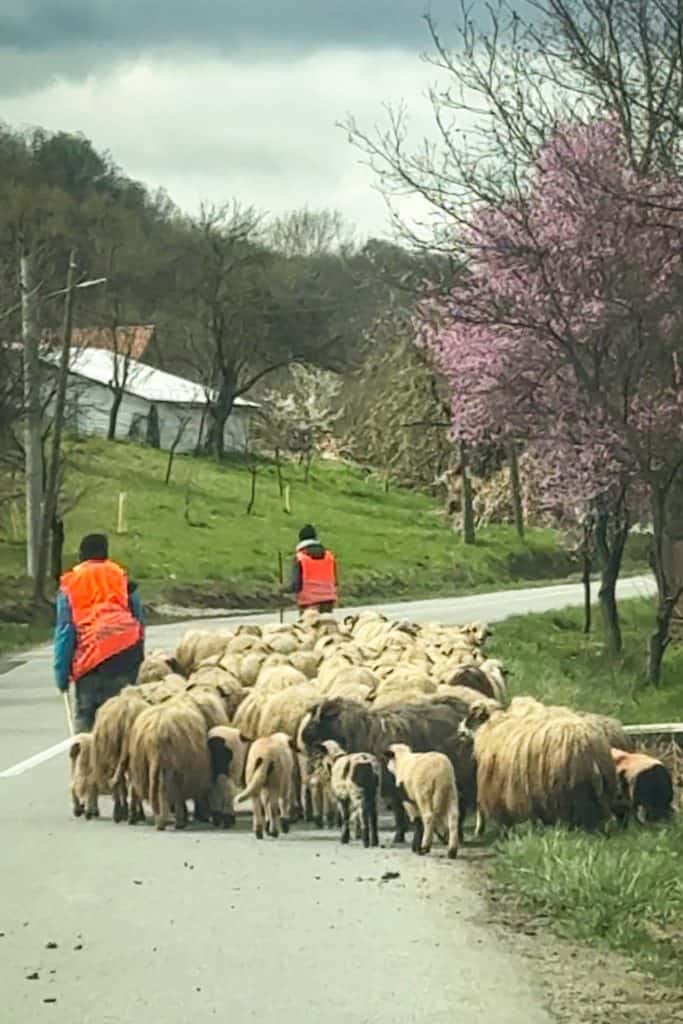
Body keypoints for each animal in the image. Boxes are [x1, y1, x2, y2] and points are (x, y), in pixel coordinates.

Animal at [299, 696, 475, 844]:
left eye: (320, 719)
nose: (303, 736)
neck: (360, 733)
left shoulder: (390, 785)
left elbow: (396, 811)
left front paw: (398, 835)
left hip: (461, 779)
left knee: (461, 807)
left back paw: (457, 835)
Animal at [460, 701, 618, 834]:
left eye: (472, 716)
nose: (459, 730)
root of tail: (589, 749)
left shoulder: (499, 789)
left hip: (565, 792)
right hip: (598, 791)